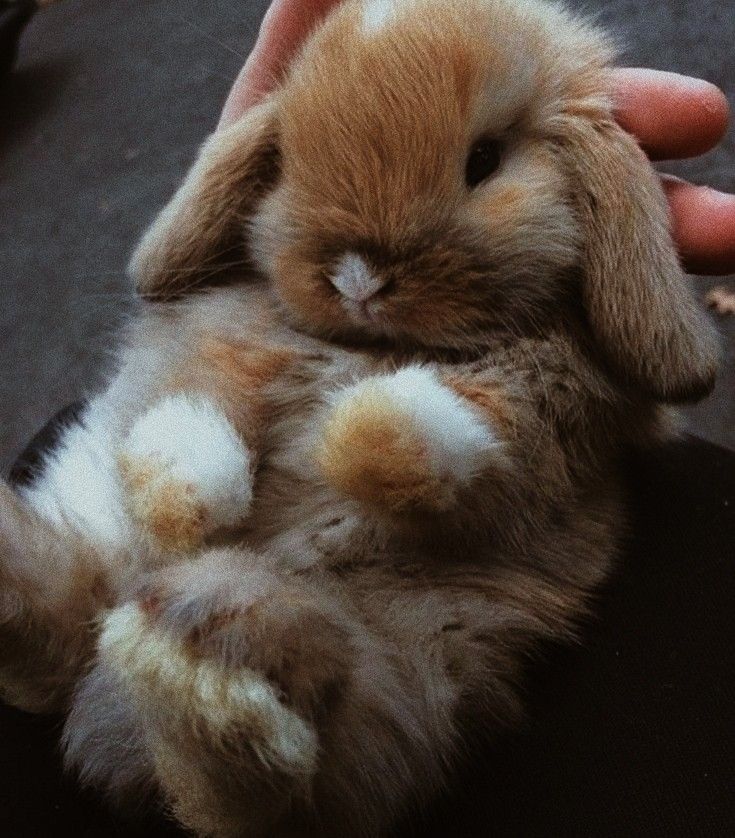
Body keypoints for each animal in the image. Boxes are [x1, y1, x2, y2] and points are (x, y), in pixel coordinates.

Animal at [0, 1, 720, 838]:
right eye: (288, 157)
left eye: (483, 160)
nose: (357, 280)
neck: (371, 344)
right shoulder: (226, 343)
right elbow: (199, 413)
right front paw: (183, 502)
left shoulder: (539, 412)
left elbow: (434, 430)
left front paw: (345, 432)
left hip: (398, 668)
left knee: (252, 783)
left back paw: (198, 649)